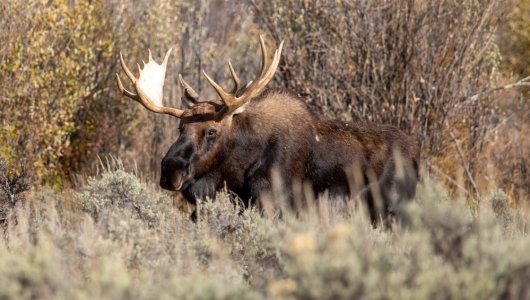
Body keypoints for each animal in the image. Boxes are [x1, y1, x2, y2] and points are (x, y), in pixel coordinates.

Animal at [115, 35, 416, 223]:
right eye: (180, 127)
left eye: (212, 131)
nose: (170, 170)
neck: (239, 169)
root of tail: (417, 157)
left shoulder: (275, 203)